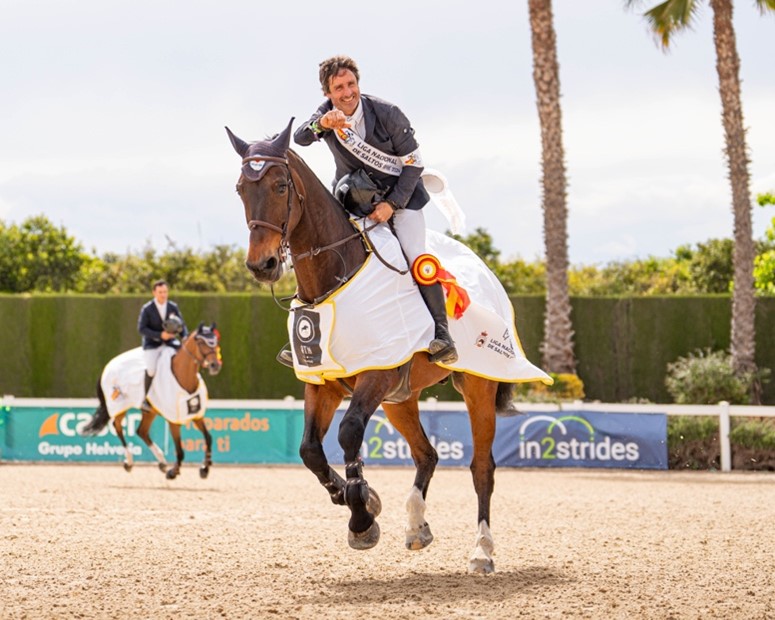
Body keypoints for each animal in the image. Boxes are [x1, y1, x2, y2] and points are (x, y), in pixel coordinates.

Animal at [82, 322, 221, 482]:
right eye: (201, 342)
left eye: (216, 342)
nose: (215, 365)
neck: (184, 378)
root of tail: (109, 365)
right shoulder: (173, 421)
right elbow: (179, 450)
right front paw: (173, 472)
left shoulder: (197, 416)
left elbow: (208, 438)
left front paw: (205, 468)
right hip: (119, 406)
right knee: (117, 427)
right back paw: (129, 462)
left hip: (150, 411)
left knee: (141, 431)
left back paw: (162, 462)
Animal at [227, 118, 512, 572]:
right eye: (240, 188)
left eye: (280, 186)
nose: (263, 265)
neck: (331, 276)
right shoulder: (322, 382)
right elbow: (309, 450)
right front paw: (358, 499)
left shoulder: (375, 377)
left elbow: (348, 434)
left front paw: (361, 515)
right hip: (401, 399)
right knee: (426, 454)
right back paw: (416, 527)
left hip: (477, 386)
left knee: (482, 466)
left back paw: (482, 550)